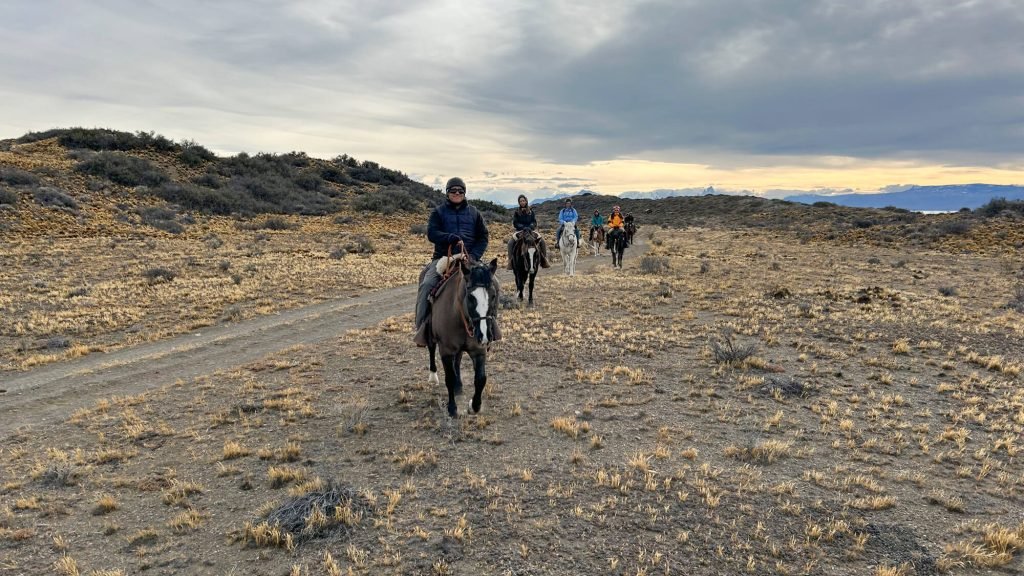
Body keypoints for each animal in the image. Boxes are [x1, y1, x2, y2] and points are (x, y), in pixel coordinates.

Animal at [428, 258, 499, 414]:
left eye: (493, 295)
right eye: (471, 297)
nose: (485, 335)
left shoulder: (478, 350)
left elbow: (480, 378)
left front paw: (475, 405)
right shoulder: (446, 351)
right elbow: (449, 378)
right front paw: (452, 408)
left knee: (458, 360)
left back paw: (458, 385)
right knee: (431, 349)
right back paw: (433, 377)